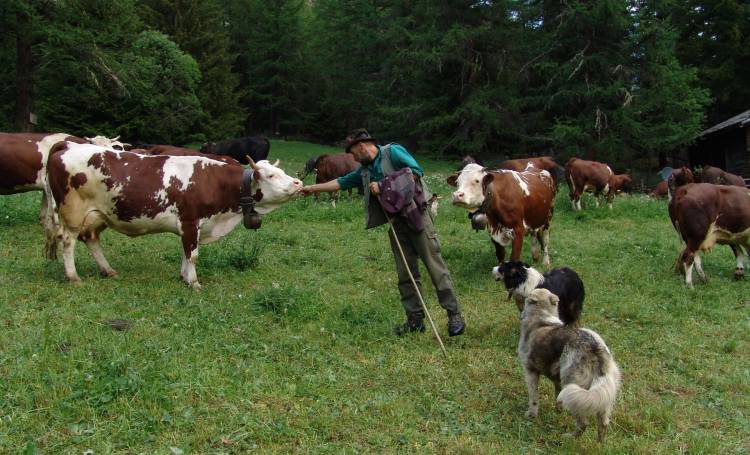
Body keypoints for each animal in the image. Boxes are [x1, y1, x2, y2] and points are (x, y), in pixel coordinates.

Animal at [47, 142, 302, 288]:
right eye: (271, 176)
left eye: (281, 171)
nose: (299, 183)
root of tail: (66, 145)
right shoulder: (191, 221)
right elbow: (193, 255)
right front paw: (194, 282)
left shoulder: (190, 226)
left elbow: (185, 252)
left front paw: (184, 276)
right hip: (73, 213)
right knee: (67, 241)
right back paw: (73, 276)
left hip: (98, 214)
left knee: (90, 238)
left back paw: (107, 270)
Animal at [524, 288, 624, 442]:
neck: (542, 318)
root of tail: (595, 349)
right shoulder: (557, 379)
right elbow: (557, 395)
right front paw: (558, 410)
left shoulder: (530, 371)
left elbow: (533, 397)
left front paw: (531, 415)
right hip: (602, 394)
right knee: (604, 423)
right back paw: (600, 443)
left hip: (573, 386)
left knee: (583, 423)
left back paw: (569, 437)